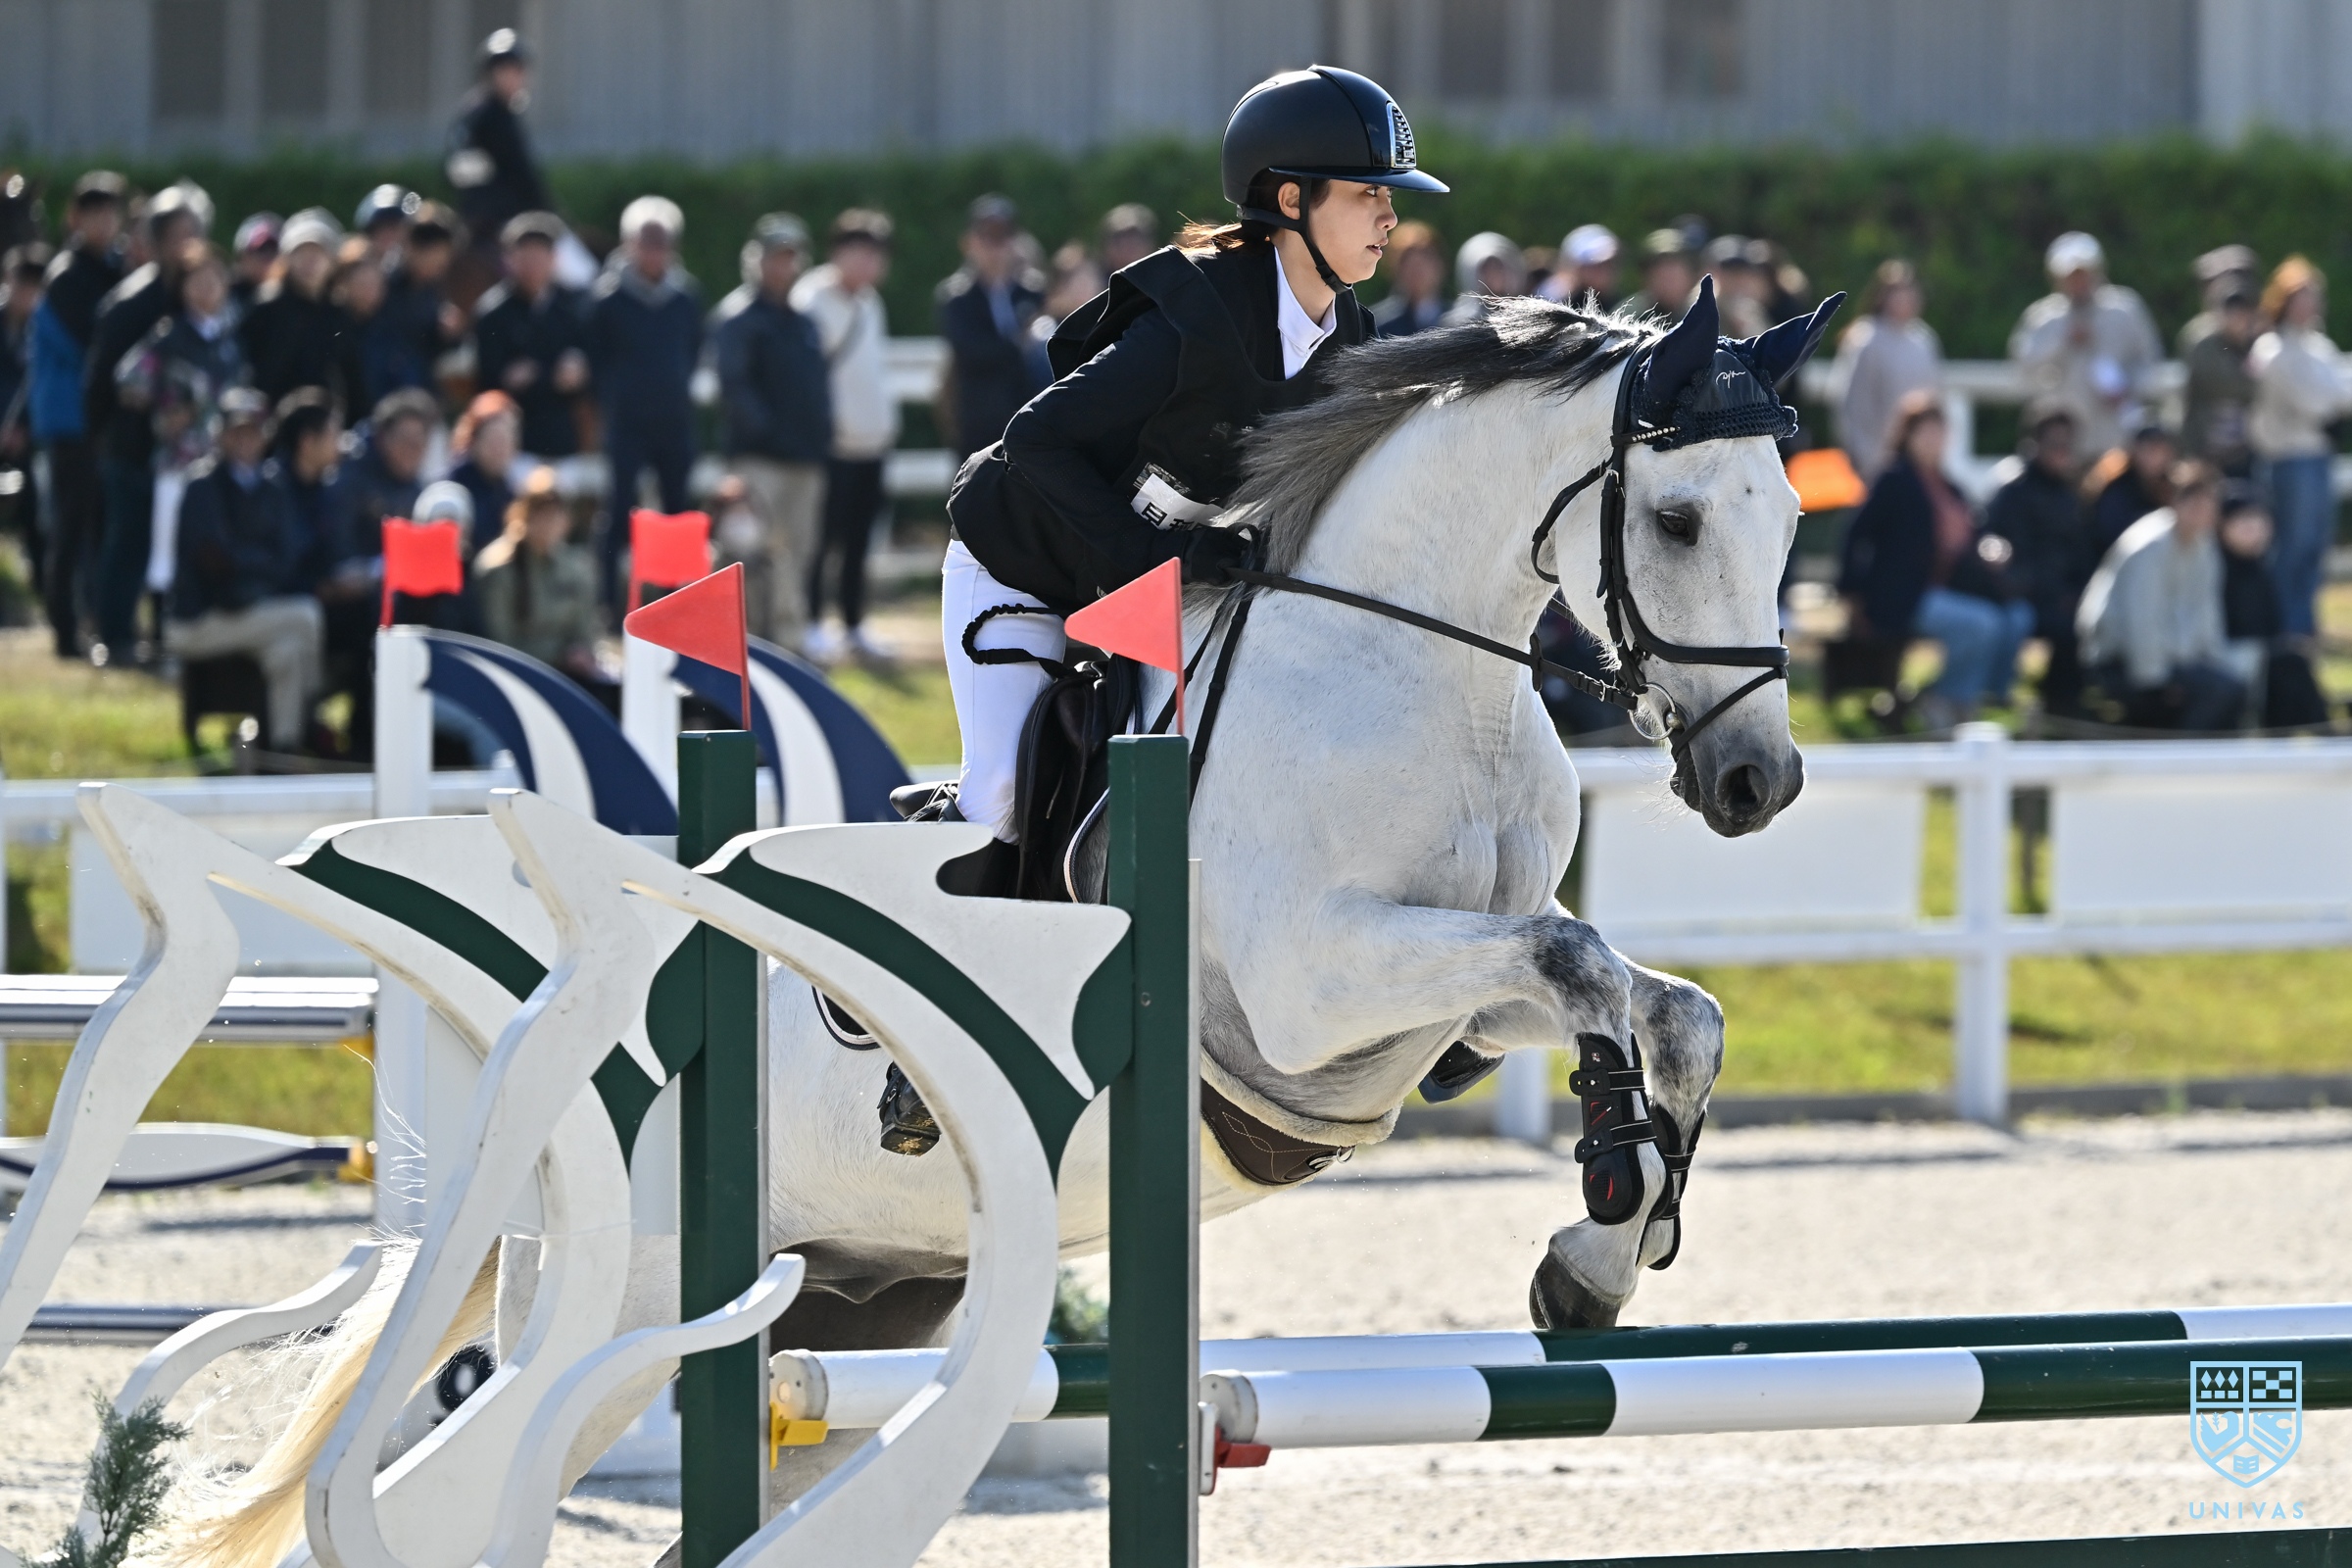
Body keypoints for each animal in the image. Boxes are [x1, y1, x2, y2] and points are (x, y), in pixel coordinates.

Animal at [167, 280, 1832, 1563]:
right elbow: (1579, 961)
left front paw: (1607, 1238)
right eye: (1679, 517)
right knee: (432, 1498)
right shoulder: (1312, 996)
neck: (1413, 670)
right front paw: (1602, 1207)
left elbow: (1662, 1002)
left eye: (1786, 525)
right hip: (611, 1309)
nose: (1756, 782)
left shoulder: (1429, 1010)